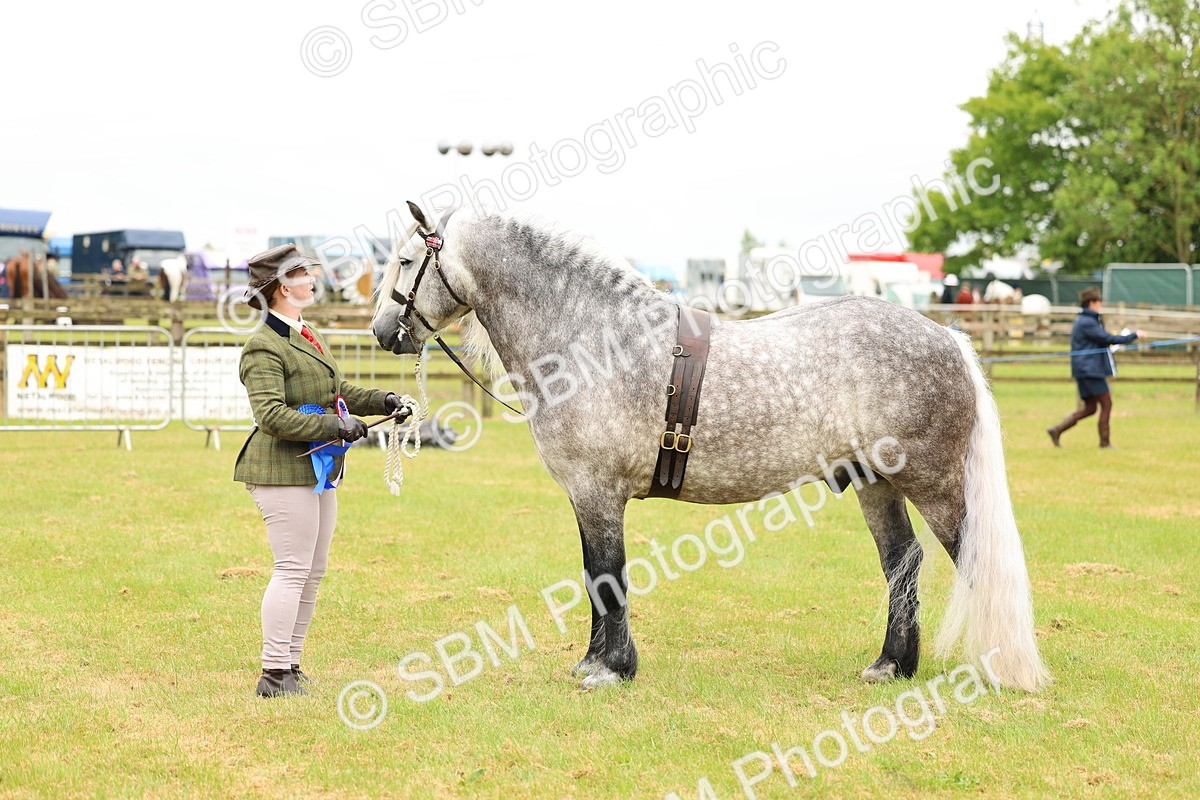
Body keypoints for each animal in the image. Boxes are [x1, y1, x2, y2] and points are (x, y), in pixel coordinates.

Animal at [371, 203, 1050, 693]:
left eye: (404, 261)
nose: (381, 332)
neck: (595, 337)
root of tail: (947, 337)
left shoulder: (597, 492)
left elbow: (607, 574)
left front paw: (610, 670)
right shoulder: (587, 497)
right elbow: (594, 575)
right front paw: (595, 662)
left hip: (935, 485)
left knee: (971, 559)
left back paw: (996, 668)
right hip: (875, 482)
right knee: (901, 563)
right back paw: (891, 666)